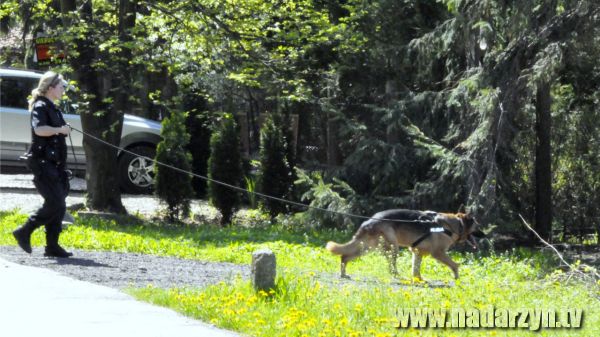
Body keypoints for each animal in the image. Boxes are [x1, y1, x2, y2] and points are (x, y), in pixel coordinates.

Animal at [326, 209, 480, 280]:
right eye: (477, 227)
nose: (484, 234)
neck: (454, 225)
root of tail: (369, 221)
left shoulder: (417, 252)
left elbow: (416, 269)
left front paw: (419, 280)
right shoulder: (438, 253)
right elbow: (454, 264)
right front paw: (457, 276)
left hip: (367, 247)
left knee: (344, 256)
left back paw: (343, 273)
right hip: (392, 247)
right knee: (392, 268)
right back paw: (398, 276)